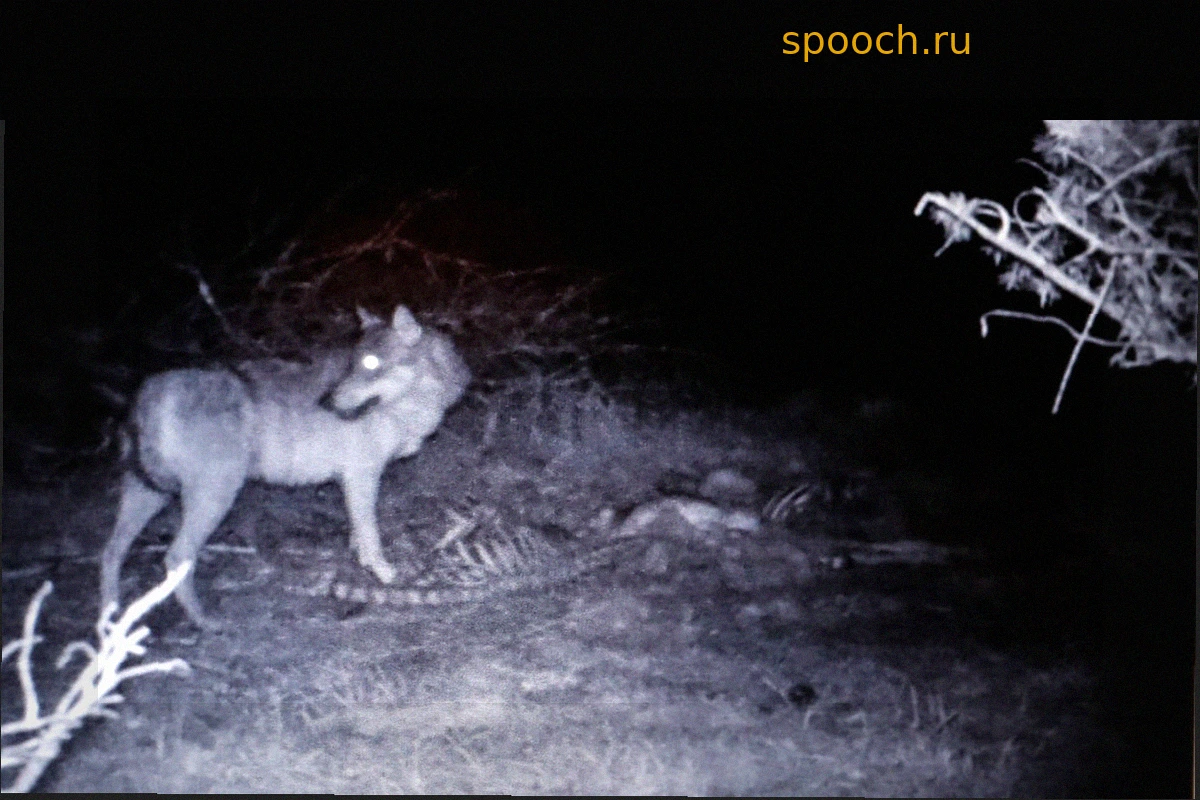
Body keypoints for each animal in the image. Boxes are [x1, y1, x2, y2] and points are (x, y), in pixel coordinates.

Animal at [99, 305, 470, 629]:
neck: (409, 406)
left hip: (148, 496)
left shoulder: (351, 481)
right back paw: (204, 622)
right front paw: (385, 576)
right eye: (354, 364)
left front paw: (360, 565)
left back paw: (111, 625)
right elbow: (371, 534)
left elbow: (358, 531)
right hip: (213, 497)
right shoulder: (362, 474)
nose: (326, 403)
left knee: (111, 553)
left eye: (368, 363)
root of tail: (149, 393)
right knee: (176, 558)